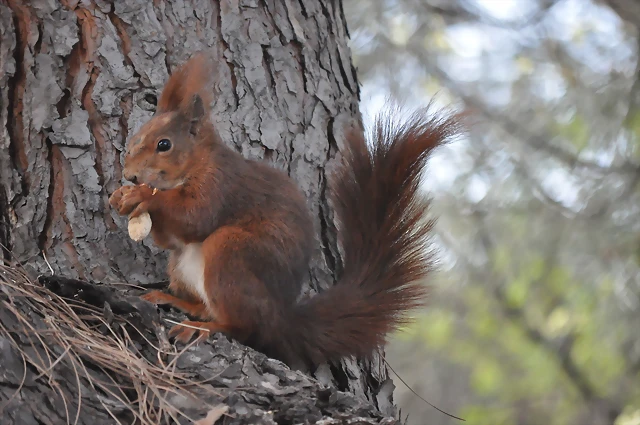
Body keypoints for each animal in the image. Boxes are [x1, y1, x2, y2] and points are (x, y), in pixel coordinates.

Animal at [111, 53, 460, 368]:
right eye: (136, 138)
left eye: (164, 145)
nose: (130, 175)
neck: (197, 163)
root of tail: (281, 318)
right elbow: (170, 238)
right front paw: (123, 197)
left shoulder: (221, 185)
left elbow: (196, 217)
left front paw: (142, 196)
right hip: (182, 266)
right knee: (209, 305)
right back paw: (173, 300)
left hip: (230, 252)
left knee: (244, 326)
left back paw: (201, 327)